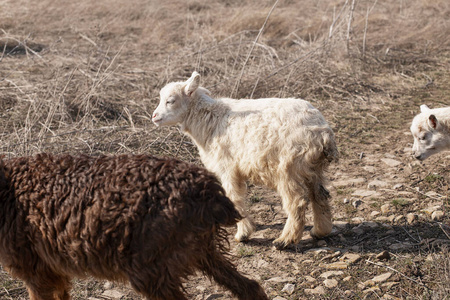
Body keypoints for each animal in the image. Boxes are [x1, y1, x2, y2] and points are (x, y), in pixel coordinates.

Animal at [0, 154, 268, 298]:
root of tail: (208, 192)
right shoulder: (52, 271)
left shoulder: (35, 271)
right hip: (202, 251)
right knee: (250, 288)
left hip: (151, 270)